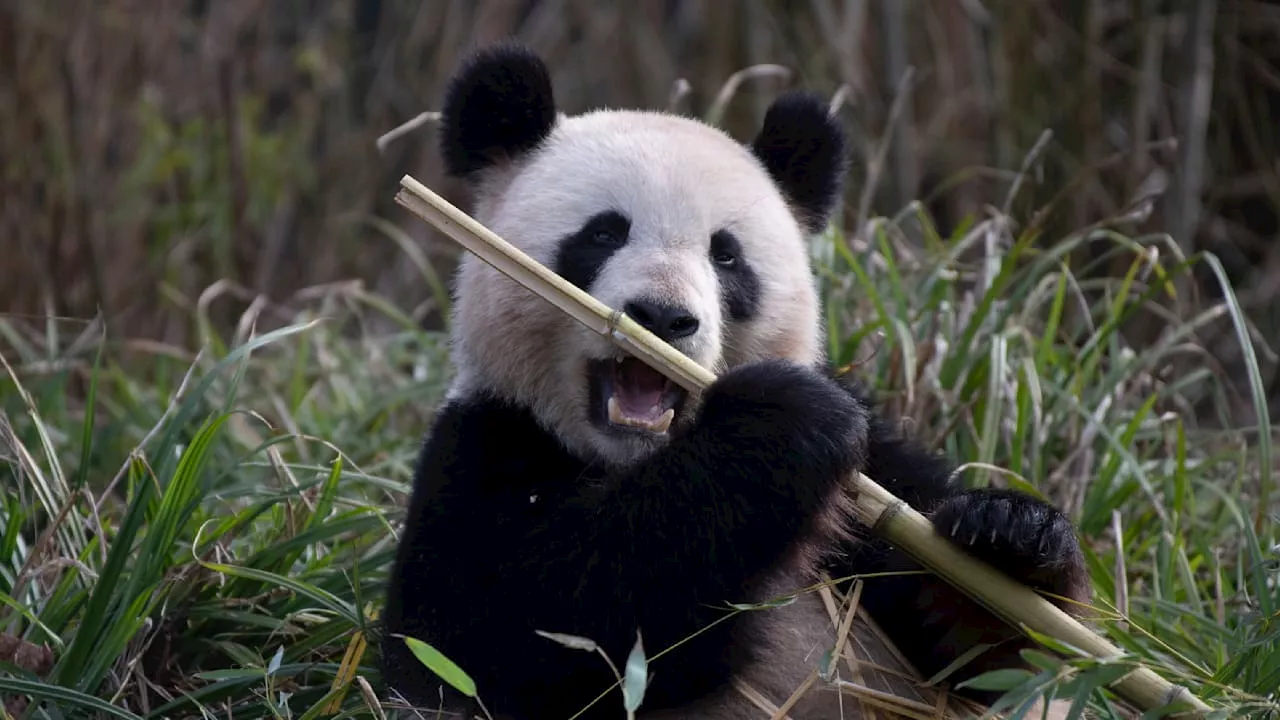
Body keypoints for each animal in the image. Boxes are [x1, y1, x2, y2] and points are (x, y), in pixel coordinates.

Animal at [378, 40, 1090, 717]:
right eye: (604, 233)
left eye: (726, 255)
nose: (663, 316)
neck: (635, 459)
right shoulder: (483, 446)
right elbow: (506, 632)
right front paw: (779, 422)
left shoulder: (878, 478)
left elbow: (983, 663)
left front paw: (1008, 536)